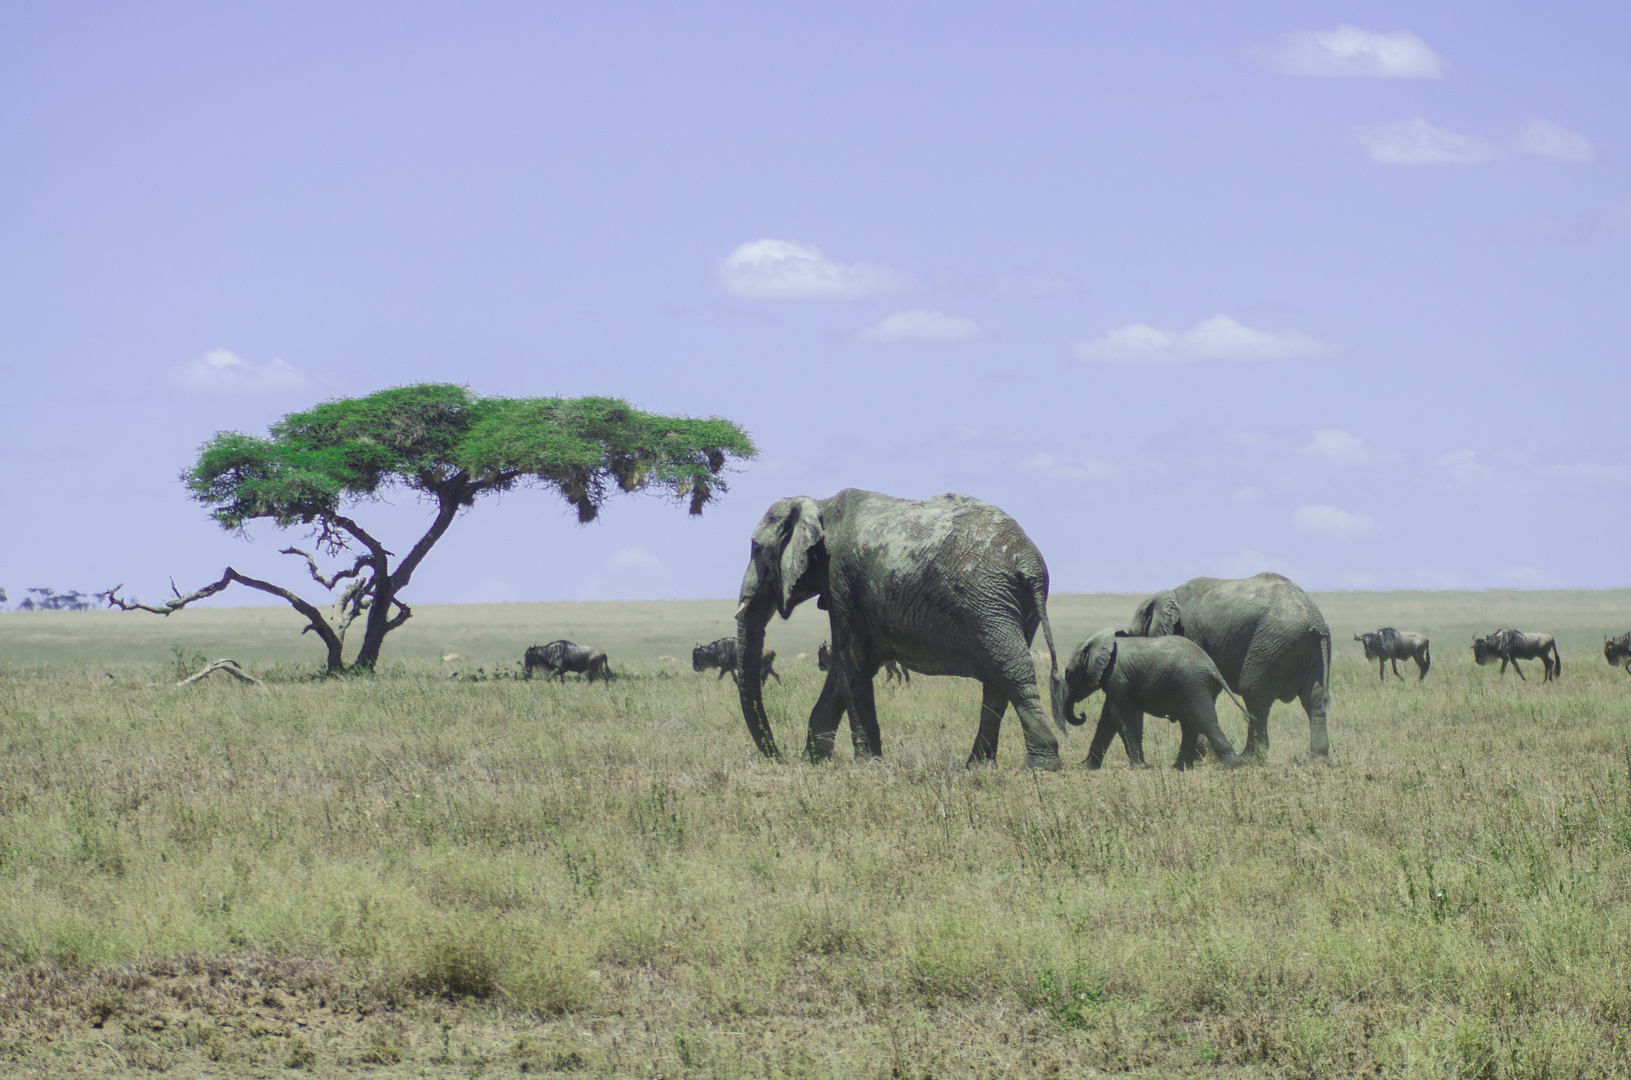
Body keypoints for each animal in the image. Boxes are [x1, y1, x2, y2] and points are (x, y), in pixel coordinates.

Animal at [740, 486, 1069, 773]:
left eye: (756, 548)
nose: (779, 756)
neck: (819, 505)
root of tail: (1028, 562)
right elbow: (844, 669)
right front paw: (813, 761)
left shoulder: (842, 579)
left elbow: (852, 662)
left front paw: (866, 765)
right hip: (1010, 604)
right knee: (998, 678)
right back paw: (977, 766)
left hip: (987, 599)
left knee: (1010, 667)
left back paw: (1039, 766)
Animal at [1063, 629, 1239, 773]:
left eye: (1069, 674)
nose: (1081, 714)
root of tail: (1212, 667)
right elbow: (1108, 719)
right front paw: (1084, 767)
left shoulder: (1116, 677)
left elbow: (1119, 716)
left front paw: (1139, 767)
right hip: (1196, 686)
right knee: (1191, 722)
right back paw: (1180, 768)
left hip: (1193, 684)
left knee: (1204, 720)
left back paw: (1231, 765)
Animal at [1128, 574, 1330, 760]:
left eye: (1132, 635)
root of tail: (1314, 620)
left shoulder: (1189, 634)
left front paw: (1201, 755)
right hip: (1313, 650)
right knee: (1314, 698)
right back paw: (1317, 760)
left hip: (1272, 643)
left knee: (1254, 693)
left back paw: (1250, 758)